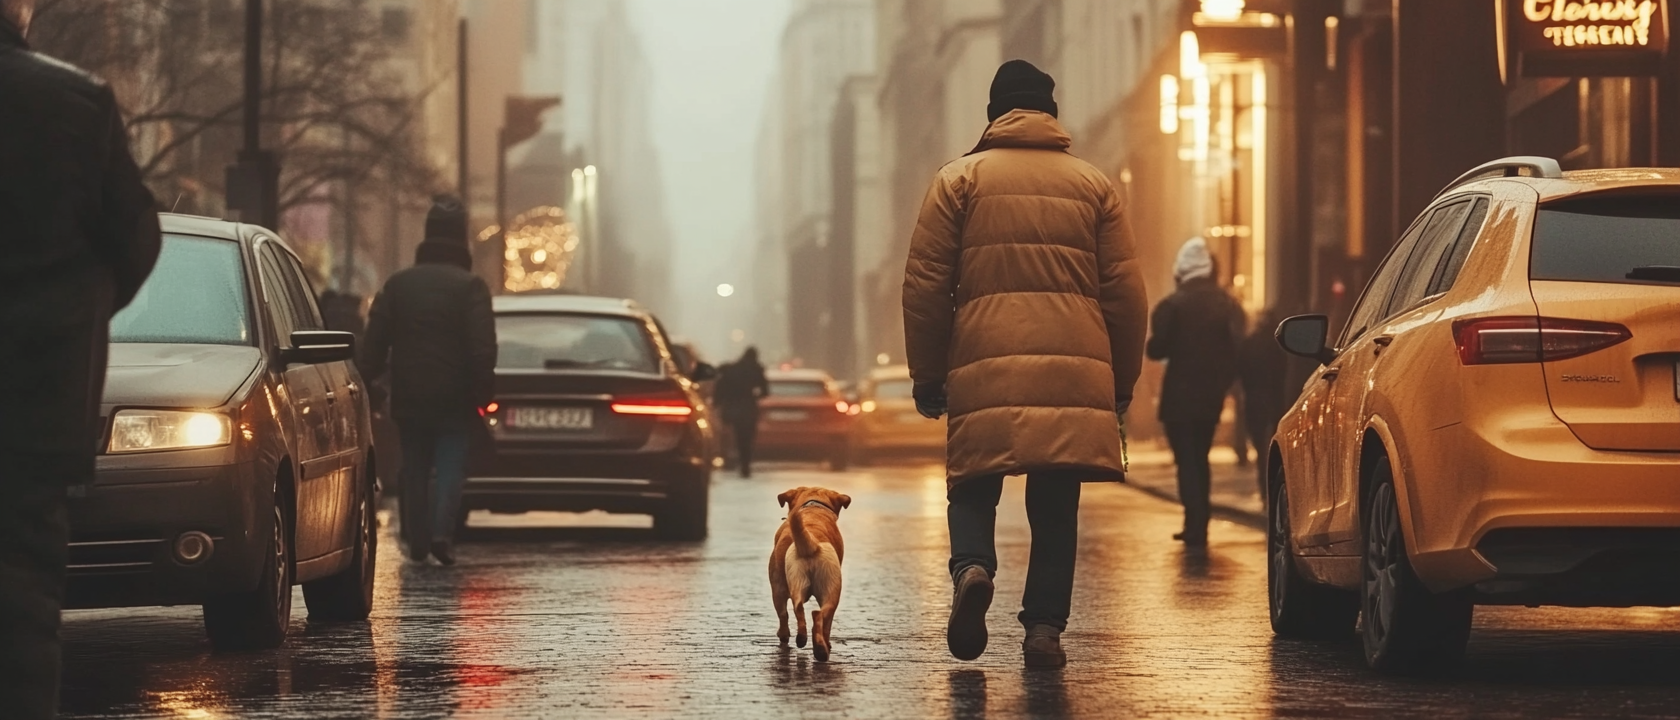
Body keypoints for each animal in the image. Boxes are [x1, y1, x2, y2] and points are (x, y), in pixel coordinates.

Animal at [772, 486, 853, 657]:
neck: (813, 506)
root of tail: (811, 544)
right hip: (832, 589)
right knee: (821, 616)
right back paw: (822, 648)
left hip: (786, 585)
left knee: (795, 610)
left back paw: (801, 639)